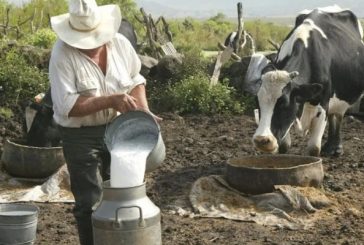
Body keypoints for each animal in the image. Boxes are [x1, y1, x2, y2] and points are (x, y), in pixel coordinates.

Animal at [245, 6, 364, 157]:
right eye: (257, 101)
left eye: (283, 103)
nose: (261, 140)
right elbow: (284, 146)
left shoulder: (323, 103)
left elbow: (313, 149)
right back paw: (330, 147)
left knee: (337, 116)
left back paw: (335, 148)